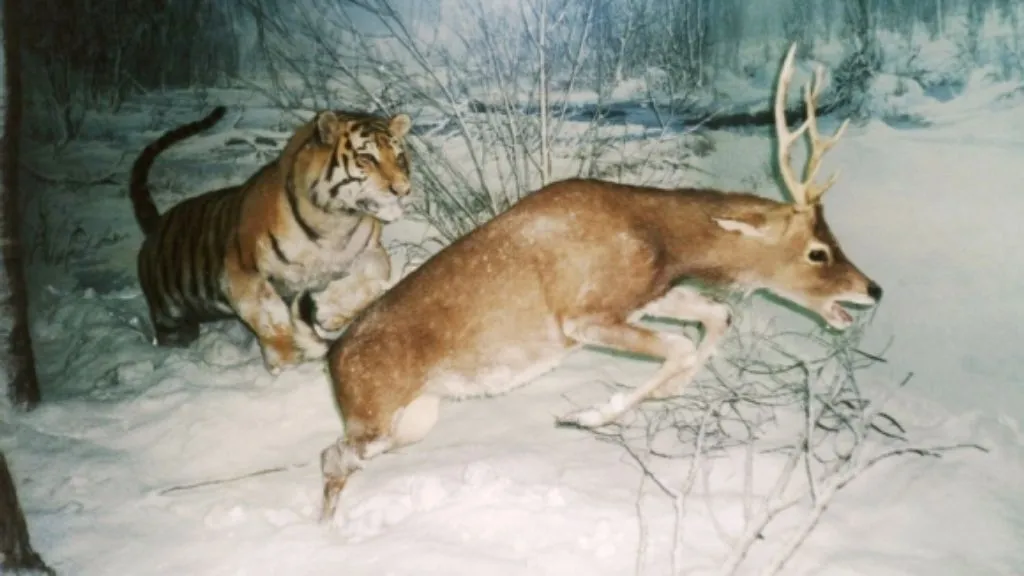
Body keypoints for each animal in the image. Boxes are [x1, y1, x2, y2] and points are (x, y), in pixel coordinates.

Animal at [130, 105, 413, 374]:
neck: (335, 223)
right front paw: (286, 365)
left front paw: (328, 311)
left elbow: (372, 277)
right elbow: (271, 316)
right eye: (367, 158)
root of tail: (156, 224)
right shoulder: (241, 272)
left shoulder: (371, 251)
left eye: (400, 158)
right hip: (171, 317)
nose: (403, 190)